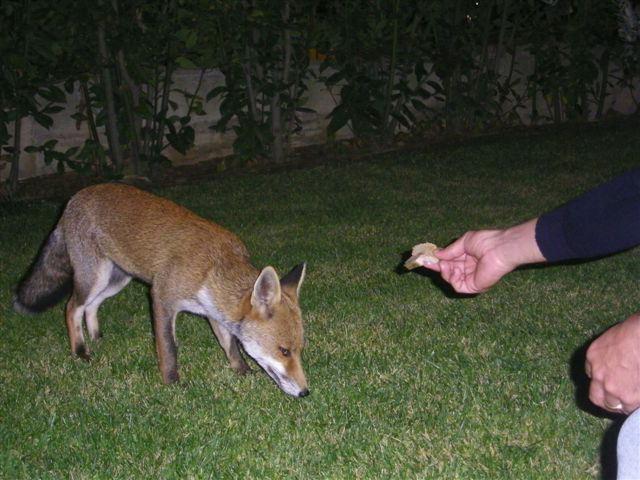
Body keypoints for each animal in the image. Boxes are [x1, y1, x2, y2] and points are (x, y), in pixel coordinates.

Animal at [13, 183, 310, 397]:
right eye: (284, 351)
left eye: (298, 350)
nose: (305, 392)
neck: (213, 267)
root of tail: (75, 197)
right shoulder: (161, 298)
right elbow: (168, 347)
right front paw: (172, 384)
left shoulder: (213, 312)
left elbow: (231, 347)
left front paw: (243, 372)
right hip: (93, 277)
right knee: (72, 307)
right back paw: (80, 350)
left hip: (116, 280)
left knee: (91, 306)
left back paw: (96, 337)